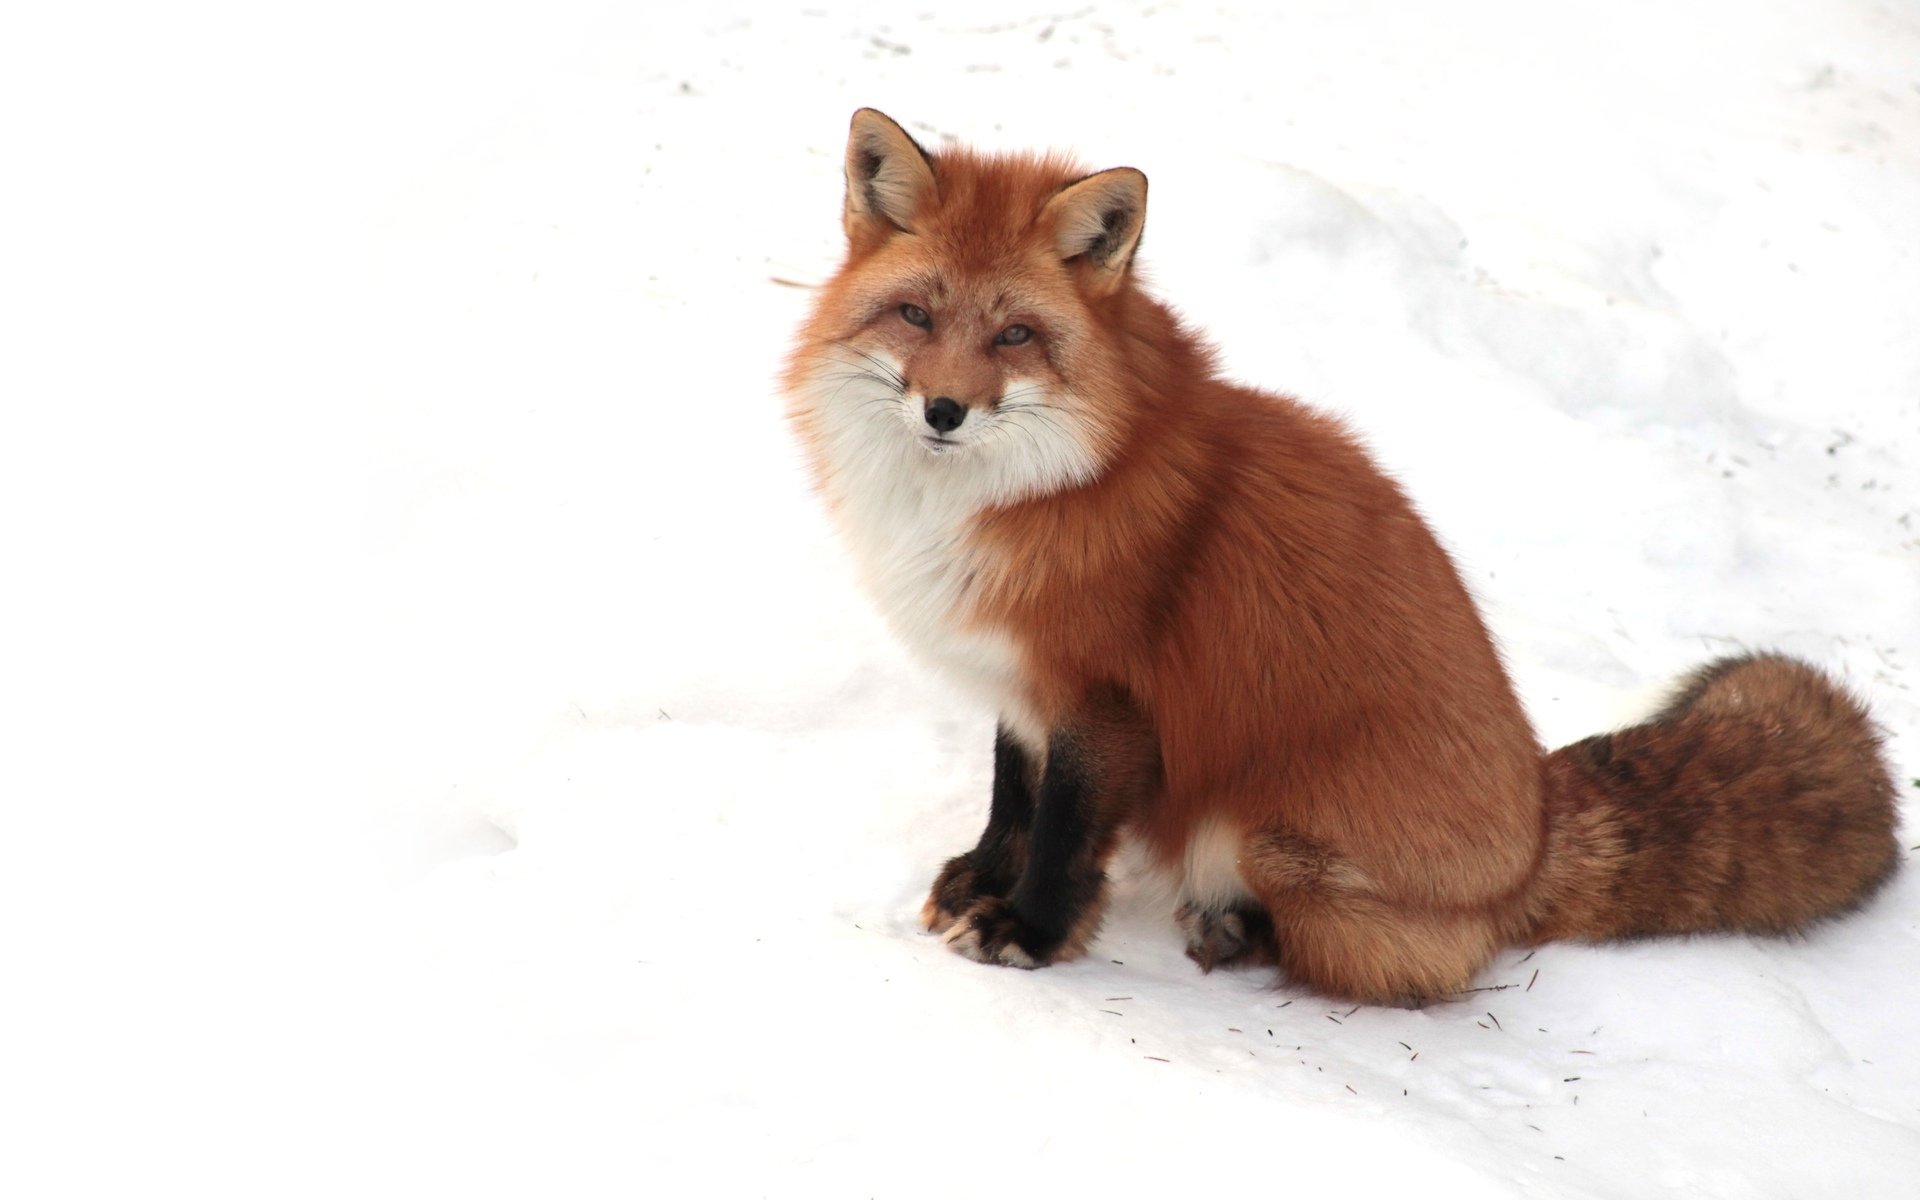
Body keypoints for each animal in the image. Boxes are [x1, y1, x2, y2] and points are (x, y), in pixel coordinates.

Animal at [781, 108, 1901, 1004]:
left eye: (1014, 335)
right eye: (917, 315)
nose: (944, 410)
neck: (1032, 486)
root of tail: (1537, 831)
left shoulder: (1105, 700)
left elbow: (1060, 832)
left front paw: (1030, 931)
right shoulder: (1020, 685)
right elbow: (1011, 803)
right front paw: (981, 880)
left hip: (1270, 836)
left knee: (1398, 968)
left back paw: (1236, 932)